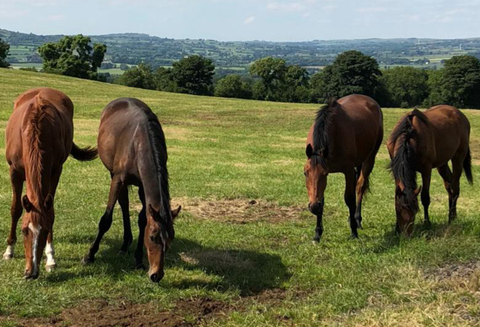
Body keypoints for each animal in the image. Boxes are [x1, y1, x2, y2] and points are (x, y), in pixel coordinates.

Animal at [3, 88, 97, 280]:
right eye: (24, 230)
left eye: (46, 231)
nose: (31, 272)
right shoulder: (14, 172)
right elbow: (15, 209)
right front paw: (9, 250)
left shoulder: (55, 171)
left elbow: (51, 212)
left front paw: (50, 258)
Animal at [82, 98, 180, 284]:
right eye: (153, 237)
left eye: (171, 238)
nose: (156, 275)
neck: (139, 143)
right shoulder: (118, 179)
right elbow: (106, 220)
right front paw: (89, 255)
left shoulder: (143, 185)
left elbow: (143, 219)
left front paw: (138, 260)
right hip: (113, 174)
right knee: (123, 203)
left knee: (125, 204)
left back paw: (126, 243)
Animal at [304, 93, 382, 242]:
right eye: (305, 173)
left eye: (324, 174)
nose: (313, 207)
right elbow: (322, 199)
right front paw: (317, 233)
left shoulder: (348, 171)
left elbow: (349, 199)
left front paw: (353, 232)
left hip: (369, 159)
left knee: (360, 187)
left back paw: (357, 220)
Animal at [386, 106, 472, 234]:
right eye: (399, 210)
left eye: (415, 211)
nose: (406, 234)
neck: (410, 137)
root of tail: (461, 115)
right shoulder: (396, 171)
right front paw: (396, 227)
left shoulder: (426, 170)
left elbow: (425, 197)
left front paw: (427, 223)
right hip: (442, 164)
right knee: (449, 186)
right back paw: (453, 215)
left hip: (458, 158)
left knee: (455, 187)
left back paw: (451, 218)